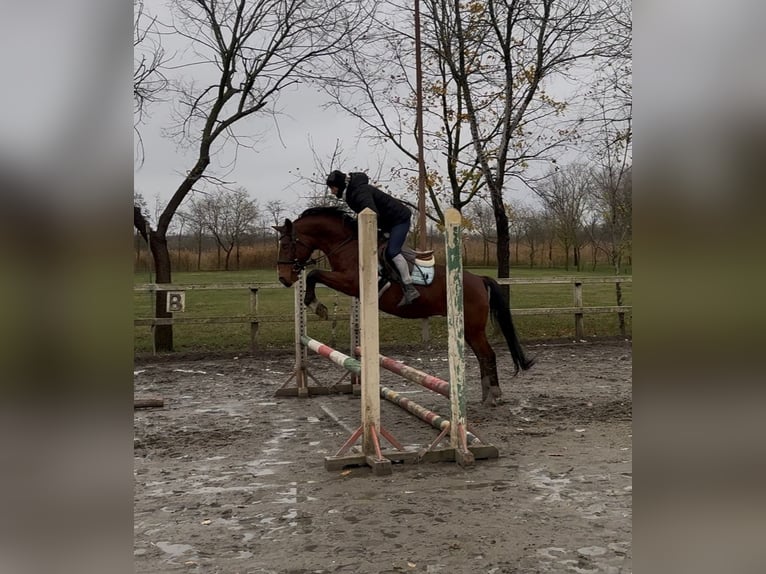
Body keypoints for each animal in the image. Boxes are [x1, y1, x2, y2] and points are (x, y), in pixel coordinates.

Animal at [274, 206, 535, 406]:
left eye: (286, 245)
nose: (284, 278)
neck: (349, 246)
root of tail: (479, 279)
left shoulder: (350, 282)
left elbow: (314, 273)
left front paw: (315, 305)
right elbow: (314, 275)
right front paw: (314, 304)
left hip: (472, 327)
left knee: (487, 354)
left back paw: (495, 395)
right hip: (468, 328)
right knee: (482, 356)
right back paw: (485, 395)